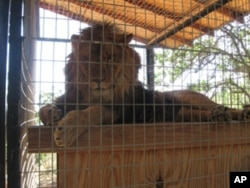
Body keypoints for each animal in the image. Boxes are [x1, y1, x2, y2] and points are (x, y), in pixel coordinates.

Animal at [39, 23, 250, 147]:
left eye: (110, 57)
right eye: (87, 59)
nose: (98, 80)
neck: (92, 94)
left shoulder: (118, 112)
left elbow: (92, 111)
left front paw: (66, 130)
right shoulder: (69, 98)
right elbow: (42, 110)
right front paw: (52, 114)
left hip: (188, 96)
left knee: (223, 107)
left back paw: (239, 113)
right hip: (182, 113)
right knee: (202, 114)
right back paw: (219, 115)